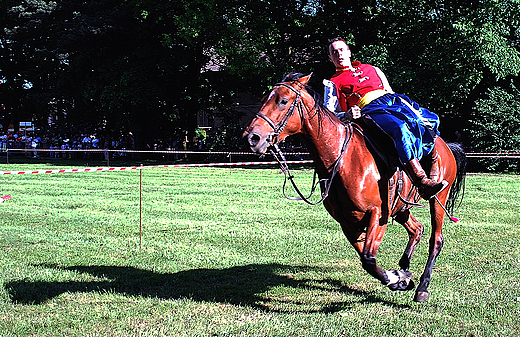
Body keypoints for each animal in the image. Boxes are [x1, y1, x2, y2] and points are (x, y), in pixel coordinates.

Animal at [244, 71, 468, 302]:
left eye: (283, 101)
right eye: (265, 99)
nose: (252, 137)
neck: (343, 160)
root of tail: (447, 146)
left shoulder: (377, 214)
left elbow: (368, 258)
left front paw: (396, 278)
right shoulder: (348, 223)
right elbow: (366, 259)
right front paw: (400, 278)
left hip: (437, 200)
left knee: (436, 240)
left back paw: (423, 286)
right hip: (401, 208)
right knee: (417, 230)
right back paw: (405, 267)